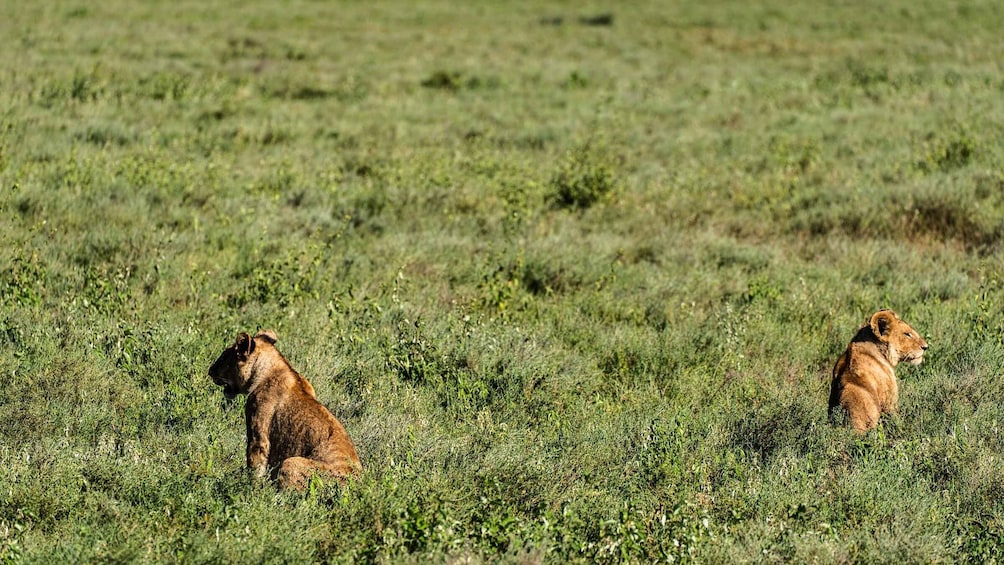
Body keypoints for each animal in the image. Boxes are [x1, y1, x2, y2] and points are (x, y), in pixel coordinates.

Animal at [207, 331, 361, 491]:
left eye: (224, 357)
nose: (210, 371)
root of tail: (358, 485)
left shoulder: (258, 436)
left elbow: (255, 467)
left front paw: (249, 489)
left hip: (290, 463)